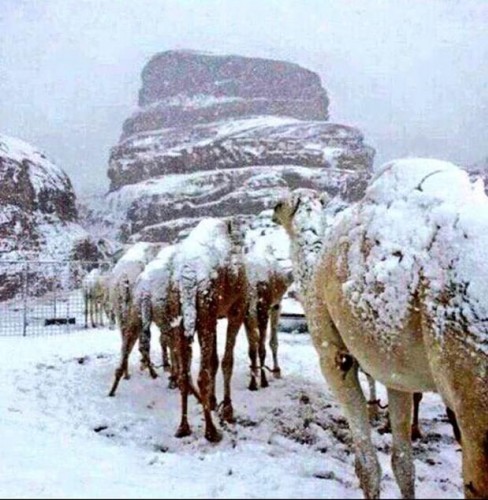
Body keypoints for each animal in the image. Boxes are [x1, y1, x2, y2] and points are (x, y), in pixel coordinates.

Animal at [107, 240, 162, 396]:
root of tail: (124, 276)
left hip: (119, 306)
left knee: (125, 339)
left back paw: (126, 374)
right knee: (140, 340)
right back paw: (151, 372)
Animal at [173, 219, 248, 442]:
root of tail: (188, 276)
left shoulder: (214, 316)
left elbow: (214, 360)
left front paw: (214, 402)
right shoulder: (237, 309)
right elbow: (227, 360)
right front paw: (228, 410)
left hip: (180, 310)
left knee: (184, 374)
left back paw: (183, 428)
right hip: (206, 305)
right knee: (201, 375)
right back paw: (212, 432)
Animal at [272, 159, 488, 496]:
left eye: (279, 205)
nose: (270, 211)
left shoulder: (333, 354)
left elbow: (366, 465)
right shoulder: (395, 371)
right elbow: (403, 464)